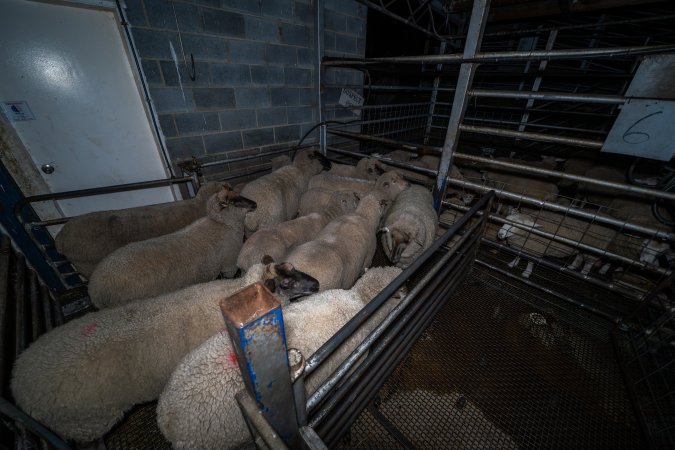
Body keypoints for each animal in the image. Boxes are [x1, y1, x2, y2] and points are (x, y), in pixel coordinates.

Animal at [7, 260, 320, 442]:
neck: (233, 291)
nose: (316, 283)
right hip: (87, 423)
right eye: (287, 282)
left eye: (294, 268)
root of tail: (18, 382)